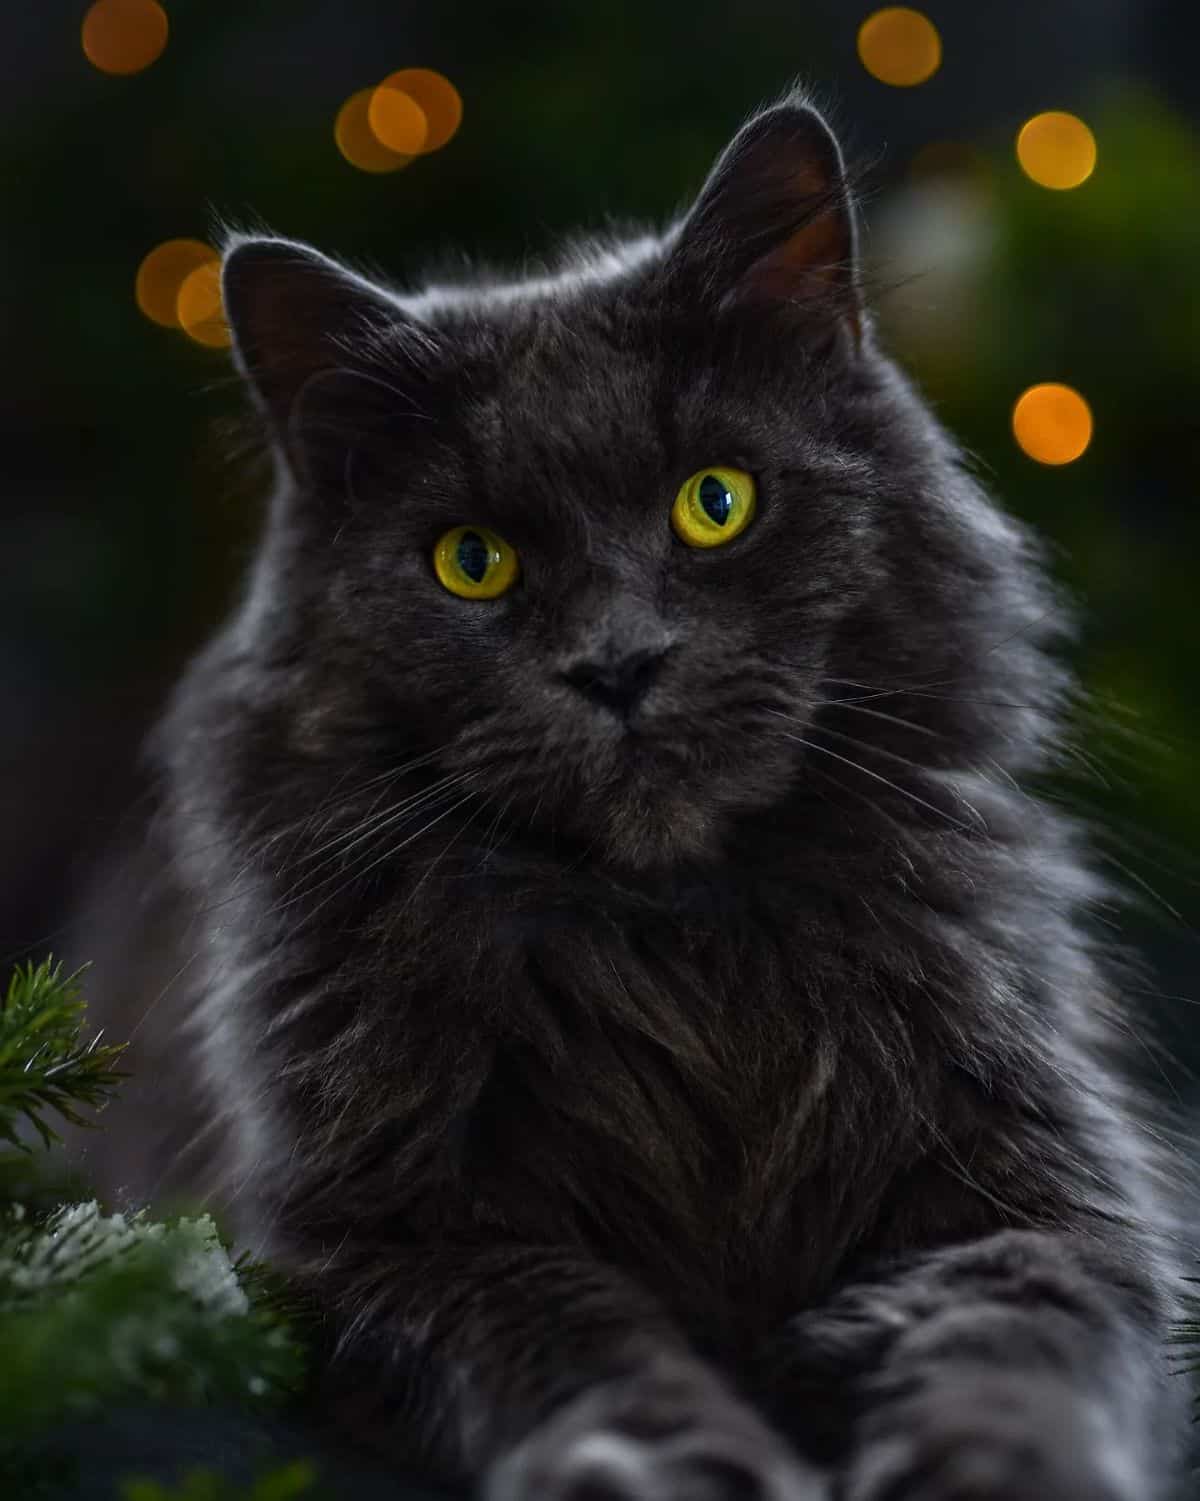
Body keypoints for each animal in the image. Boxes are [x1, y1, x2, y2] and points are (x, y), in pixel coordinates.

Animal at [82, 93, 1189, 1501]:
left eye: (714, 502)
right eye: (473, 562)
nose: (618, 664)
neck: (682, 952)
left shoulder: (1041, 1190)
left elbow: (1017, 1340)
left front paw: (997, 1464)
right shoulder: (378, 1237)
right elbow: (585, 1348)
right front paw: (677, 1467)